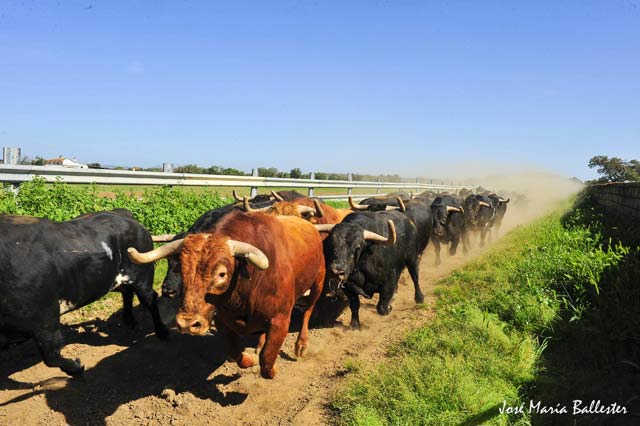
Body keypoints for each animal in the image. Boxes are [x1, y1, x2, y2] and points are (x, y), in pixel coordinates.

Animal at [127, 210, 324, 380]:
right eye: (181, 270)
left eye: (222, 274)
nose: (188, 324)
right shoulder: (222, 320)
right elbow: (234, 352)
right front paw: (250, 358)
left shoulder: (280, 320)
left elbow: (267, 359)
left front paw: (270, 366)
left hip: (318, 281)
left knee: (308, 310)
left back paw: (301, 344)